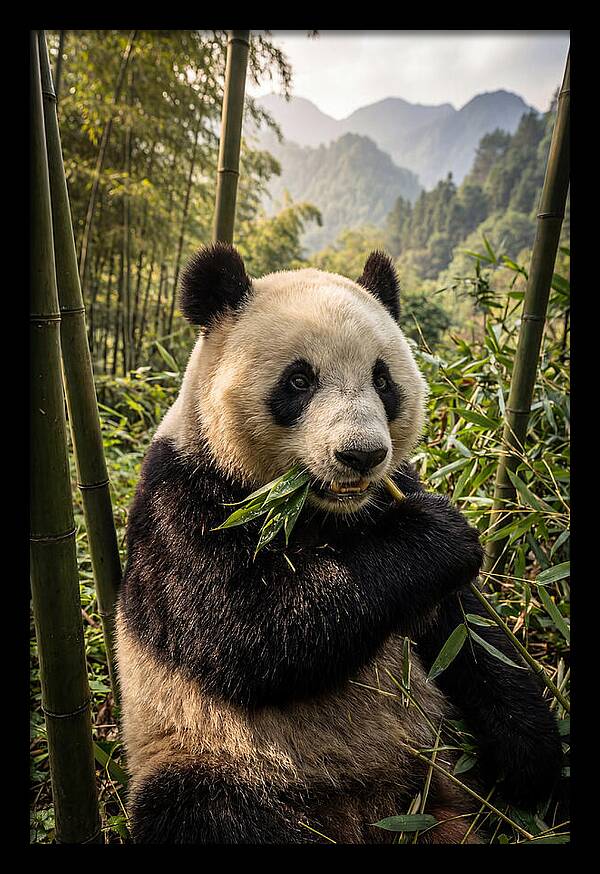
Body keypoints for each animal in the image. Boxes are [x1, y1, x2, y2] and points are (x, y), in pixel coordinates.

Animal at [116, 243, 563, 844]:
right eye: (299, 381)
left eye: (383, 380)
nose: (361, 455)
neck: (319, 510)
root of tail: (369, 813)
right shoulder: (184, 498)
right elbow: (245, 629)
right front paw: (437, 536)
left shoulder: (392, 498)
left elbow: (471, 636)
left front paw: (531, 759)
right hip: (212, 754)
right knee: (205, 813)